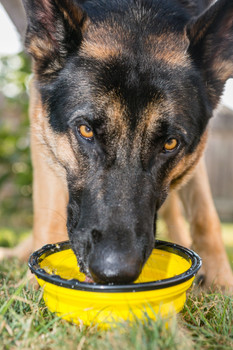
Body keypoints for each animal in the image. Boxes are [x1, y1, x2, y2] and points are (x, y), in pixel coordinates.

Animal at [0, 0, 232, 288]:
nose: (115, 273)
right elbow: (49, 204)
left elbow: (204, 212)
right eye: (86, 130)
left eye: (170, 143)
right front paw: (38, 283)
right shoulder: (38, 108)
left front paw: (221, 279)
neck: (139, 10)